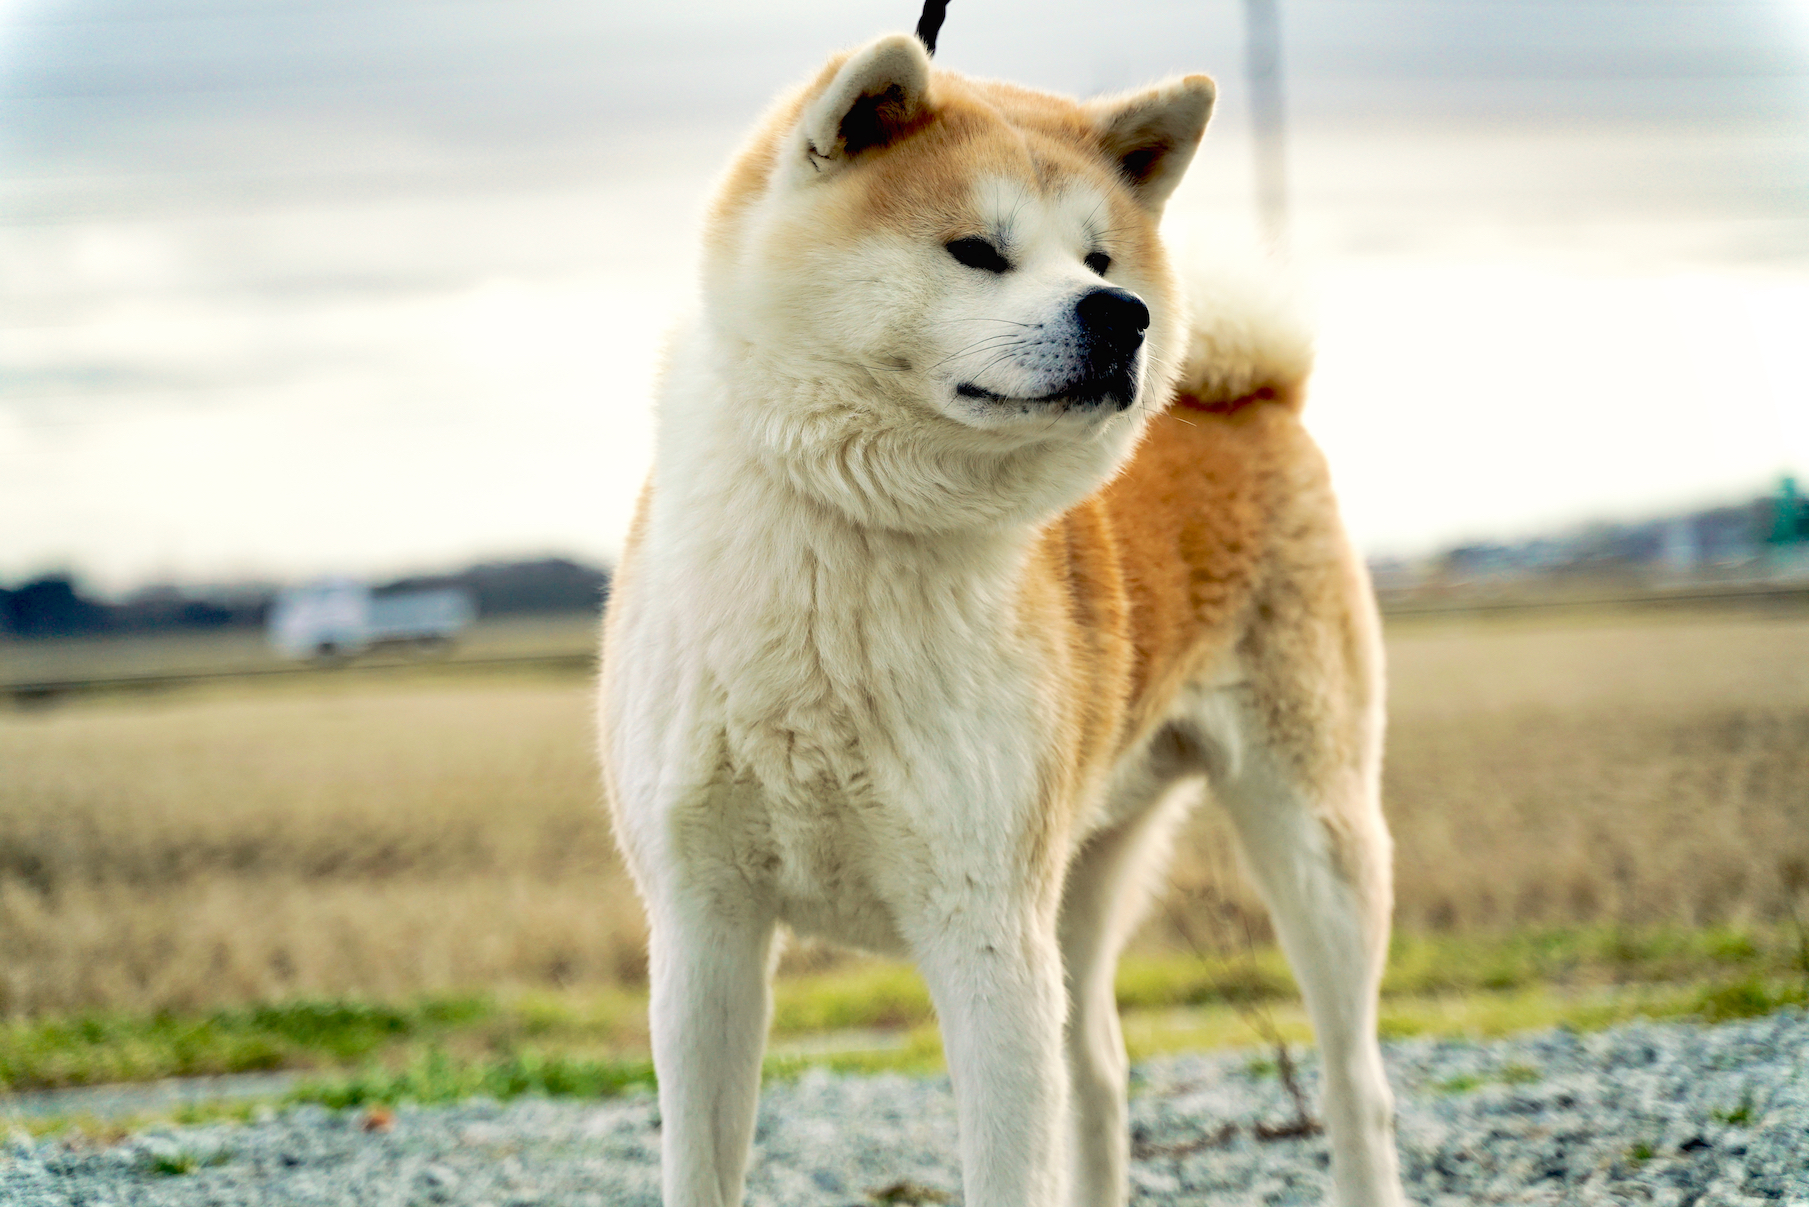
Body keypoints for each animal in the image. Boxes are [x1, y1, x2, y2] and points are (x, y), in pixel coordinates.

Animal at [600, 28, 1403, 1207]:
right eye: (977, 250)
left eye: (1101, 261)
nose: (1123, 315)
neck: (853, 543)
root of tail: (1257, 400)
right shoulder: (704, 933)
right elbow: (701, 1167)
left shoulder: (986, 935)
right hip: (1084, 878)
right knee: (1102, 1076)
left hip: (1311, 843)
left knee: (1355, 1082)